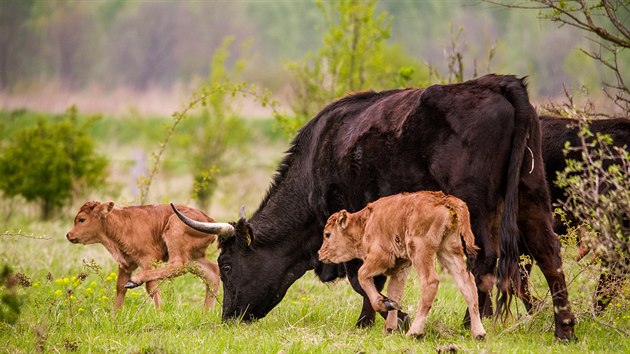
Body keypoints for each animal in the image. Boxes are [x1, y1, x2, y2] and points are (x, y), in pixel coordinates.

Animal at [66, 201, 223, 308]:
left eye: (82, 219)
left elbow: (151, 287)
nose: (69, 235)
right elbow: (120, 287)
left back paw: (135, 280)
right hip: (194, 257)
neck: (119, 223)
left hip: (175, 231)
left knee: (178, 264)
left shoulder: (149, 260)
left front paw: (160, 312)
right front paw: (115, 317)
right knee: (212, 274)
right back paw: (205, 312)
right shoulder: (126, 265)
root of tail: (209, 220)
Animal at [318, 192, 486, 338]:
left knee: (431, 282)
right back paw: (479, 334)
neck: (365, 223)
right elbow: (394, 291)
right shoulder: (401, 267)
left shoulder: (381, 257)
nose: (320, 254)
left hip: (420, 251)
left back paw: (414, 333)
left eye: (327, 234)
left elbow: (363, 275)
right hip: (449, 251)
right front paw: (389, 327)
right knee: (467, 285)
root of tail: (444, 199)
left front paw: (384, 305)